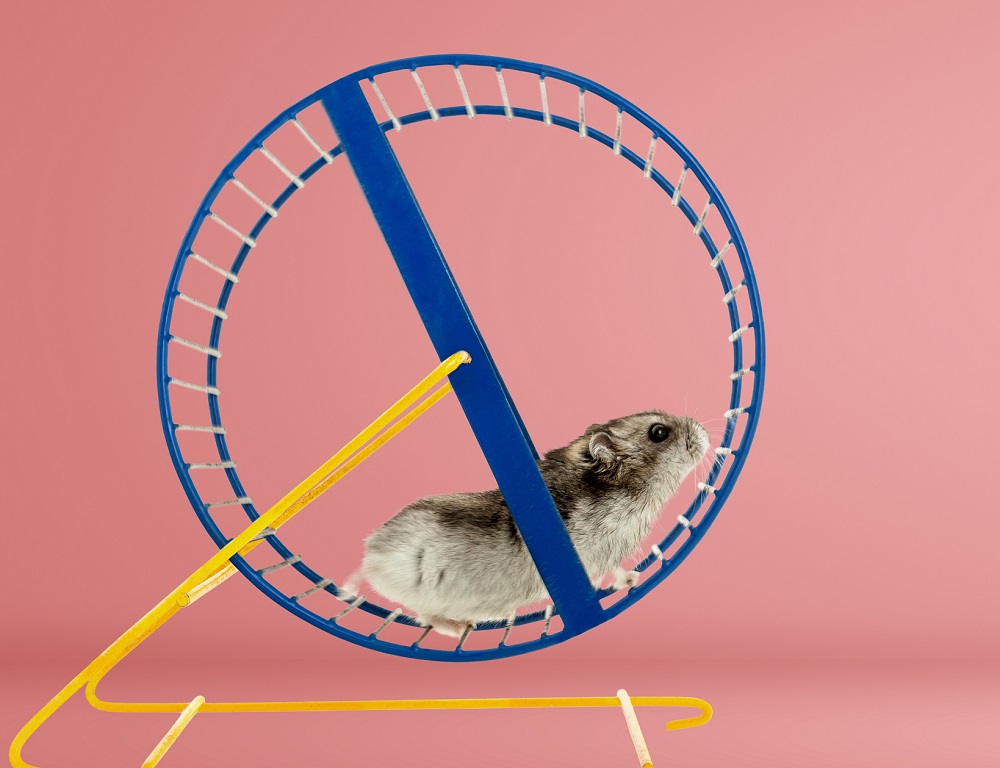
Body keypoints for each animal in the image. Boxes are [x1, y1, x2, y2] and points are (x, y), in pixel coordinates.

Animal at [342, 410, 710, 637]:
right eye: (659, 432)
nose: (705, 433)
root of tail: (371, 555)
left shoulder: (609, 554)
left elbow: (618, 571)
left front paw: (633, 578)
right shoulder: (592, 556)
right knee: (421, 614)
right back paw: (460, 627)